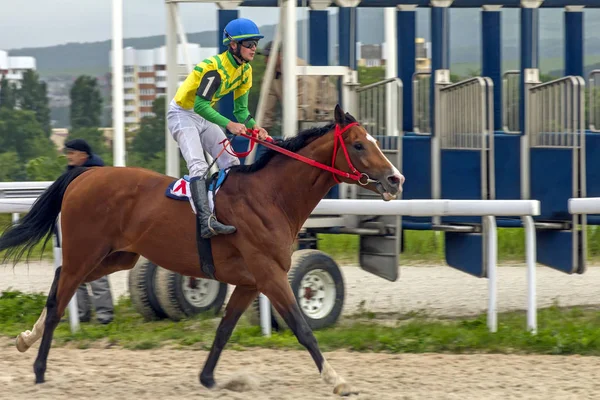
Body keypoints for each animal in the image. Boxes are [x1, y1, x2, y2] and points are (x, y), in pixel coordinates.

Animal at [1, 104, 404, 396]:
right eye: (359, 145)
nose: (395, 178)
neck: (271, 197)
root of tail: (84, 173)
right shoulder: (270, 274)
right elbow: (302, 328)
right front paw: (337, 379)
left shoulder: (250, 281)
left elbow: (225, 328)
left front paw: (208, 378)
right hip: (85, 252)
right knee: (58, 301)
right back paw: (39, 369)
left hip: (115, 257)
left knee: (58, 282)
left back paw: (25, 338)